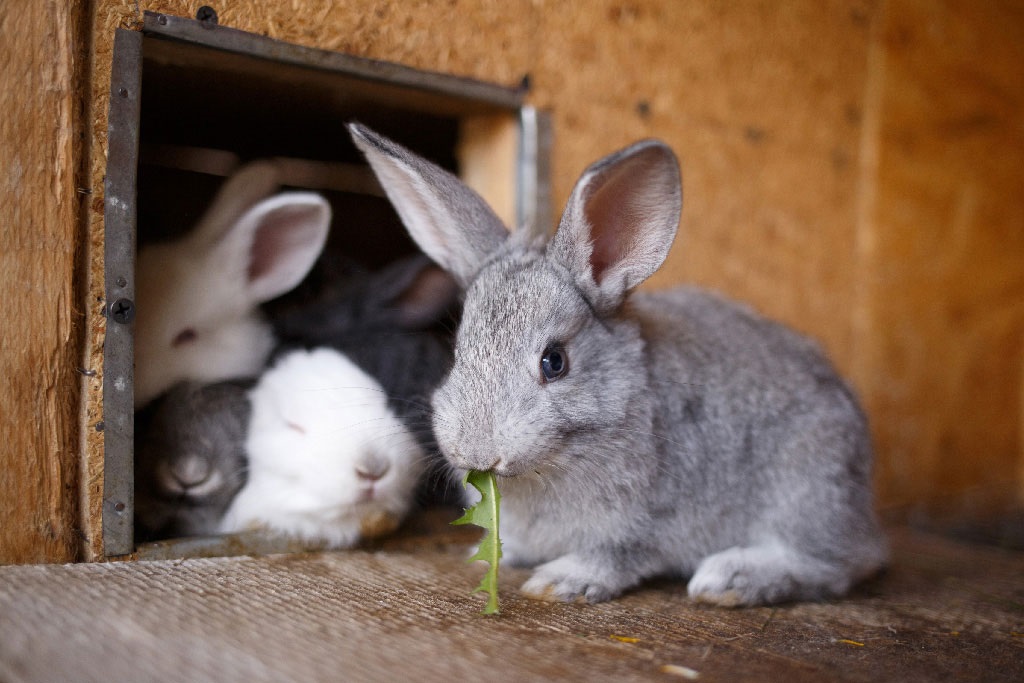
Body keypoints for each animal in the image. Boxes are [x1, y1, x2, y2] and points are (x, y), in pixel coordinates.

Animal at [346, 125, 888, 606]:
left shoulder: (645, 525)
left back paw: (730, 579)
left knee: (835, 566)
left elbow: (617, 556)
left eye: (554, 361)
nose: (478, 453)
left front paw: (561, 581)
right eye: (457, 351)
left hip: (806, 491)